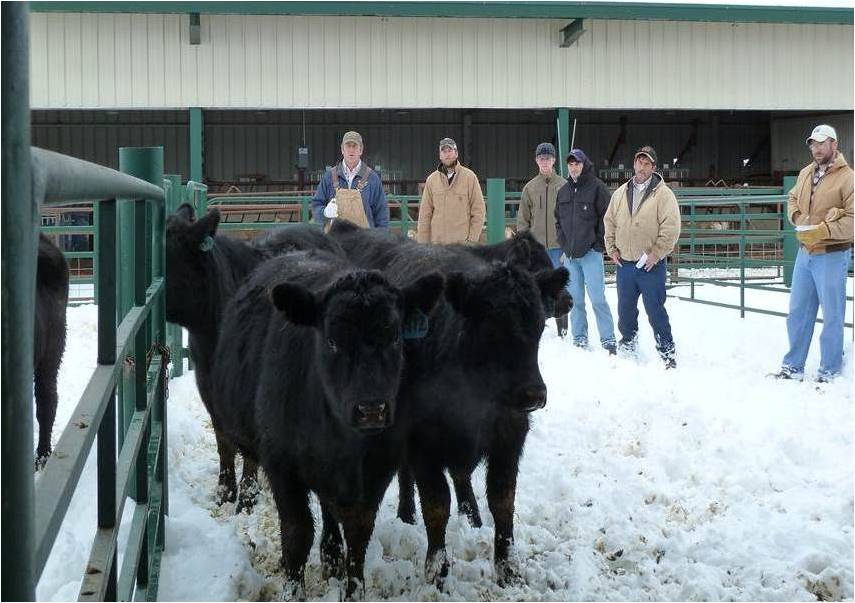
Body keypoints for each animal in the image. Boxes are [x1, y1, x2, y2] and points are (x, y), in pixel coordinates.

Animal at [211, 248, 444, 596]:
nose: (371, 409)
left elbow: (358, 536)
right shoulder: (282, 466)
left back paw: (332, 558)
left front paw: (353, 590)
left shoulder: (377, 469)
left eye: (394, 337)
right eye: (333, 341)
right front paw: (292, 591)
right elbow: (296, 533)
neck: (344, 445)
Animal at [328, 222, 568, 588]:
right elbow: (437, 503)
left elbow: (503, 500)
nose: (534, 395)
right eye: (492, 328)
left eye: (538, 325)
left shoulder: (509, 437)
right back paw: (406, 513)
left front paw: (507, 567)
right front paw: (437, 568)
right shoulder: (423, 442)